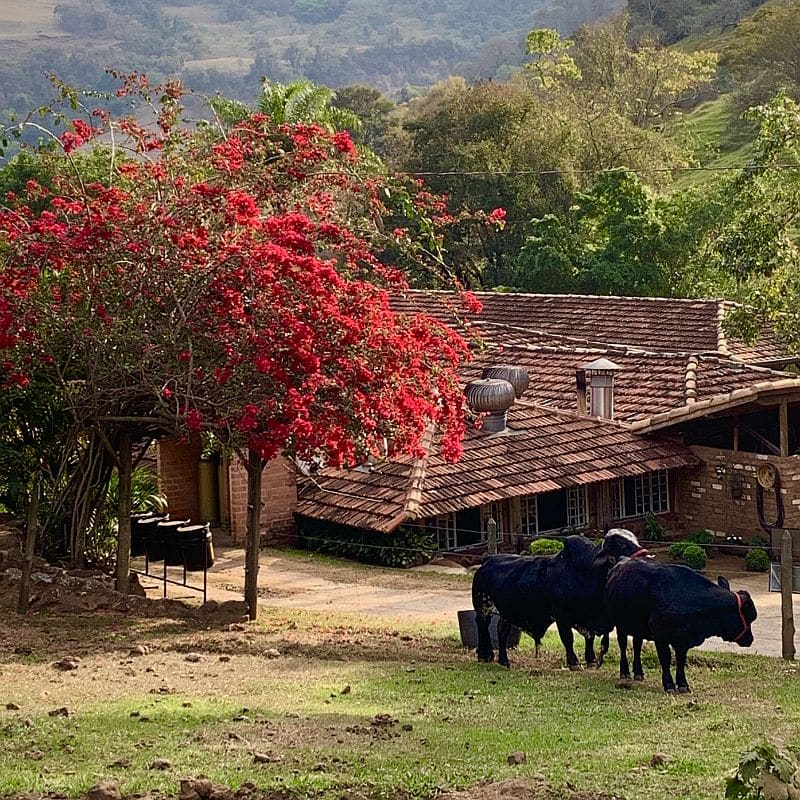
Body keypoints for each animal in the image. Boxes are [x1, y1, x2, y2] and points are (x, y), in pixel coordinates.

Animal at [608, 556, 756, 692]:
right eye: (750, 617)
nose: (750, 639)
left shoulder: (683, 639)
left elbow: (680, 660)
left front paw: (683, 685)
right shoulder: (660, 635)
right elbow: (665, 658)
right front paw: (669, 685)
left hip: (638, 627)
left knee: (637, 645)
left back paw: (638, 673)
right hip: (620, 625)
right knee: (623, 645)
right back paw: (625, 672)